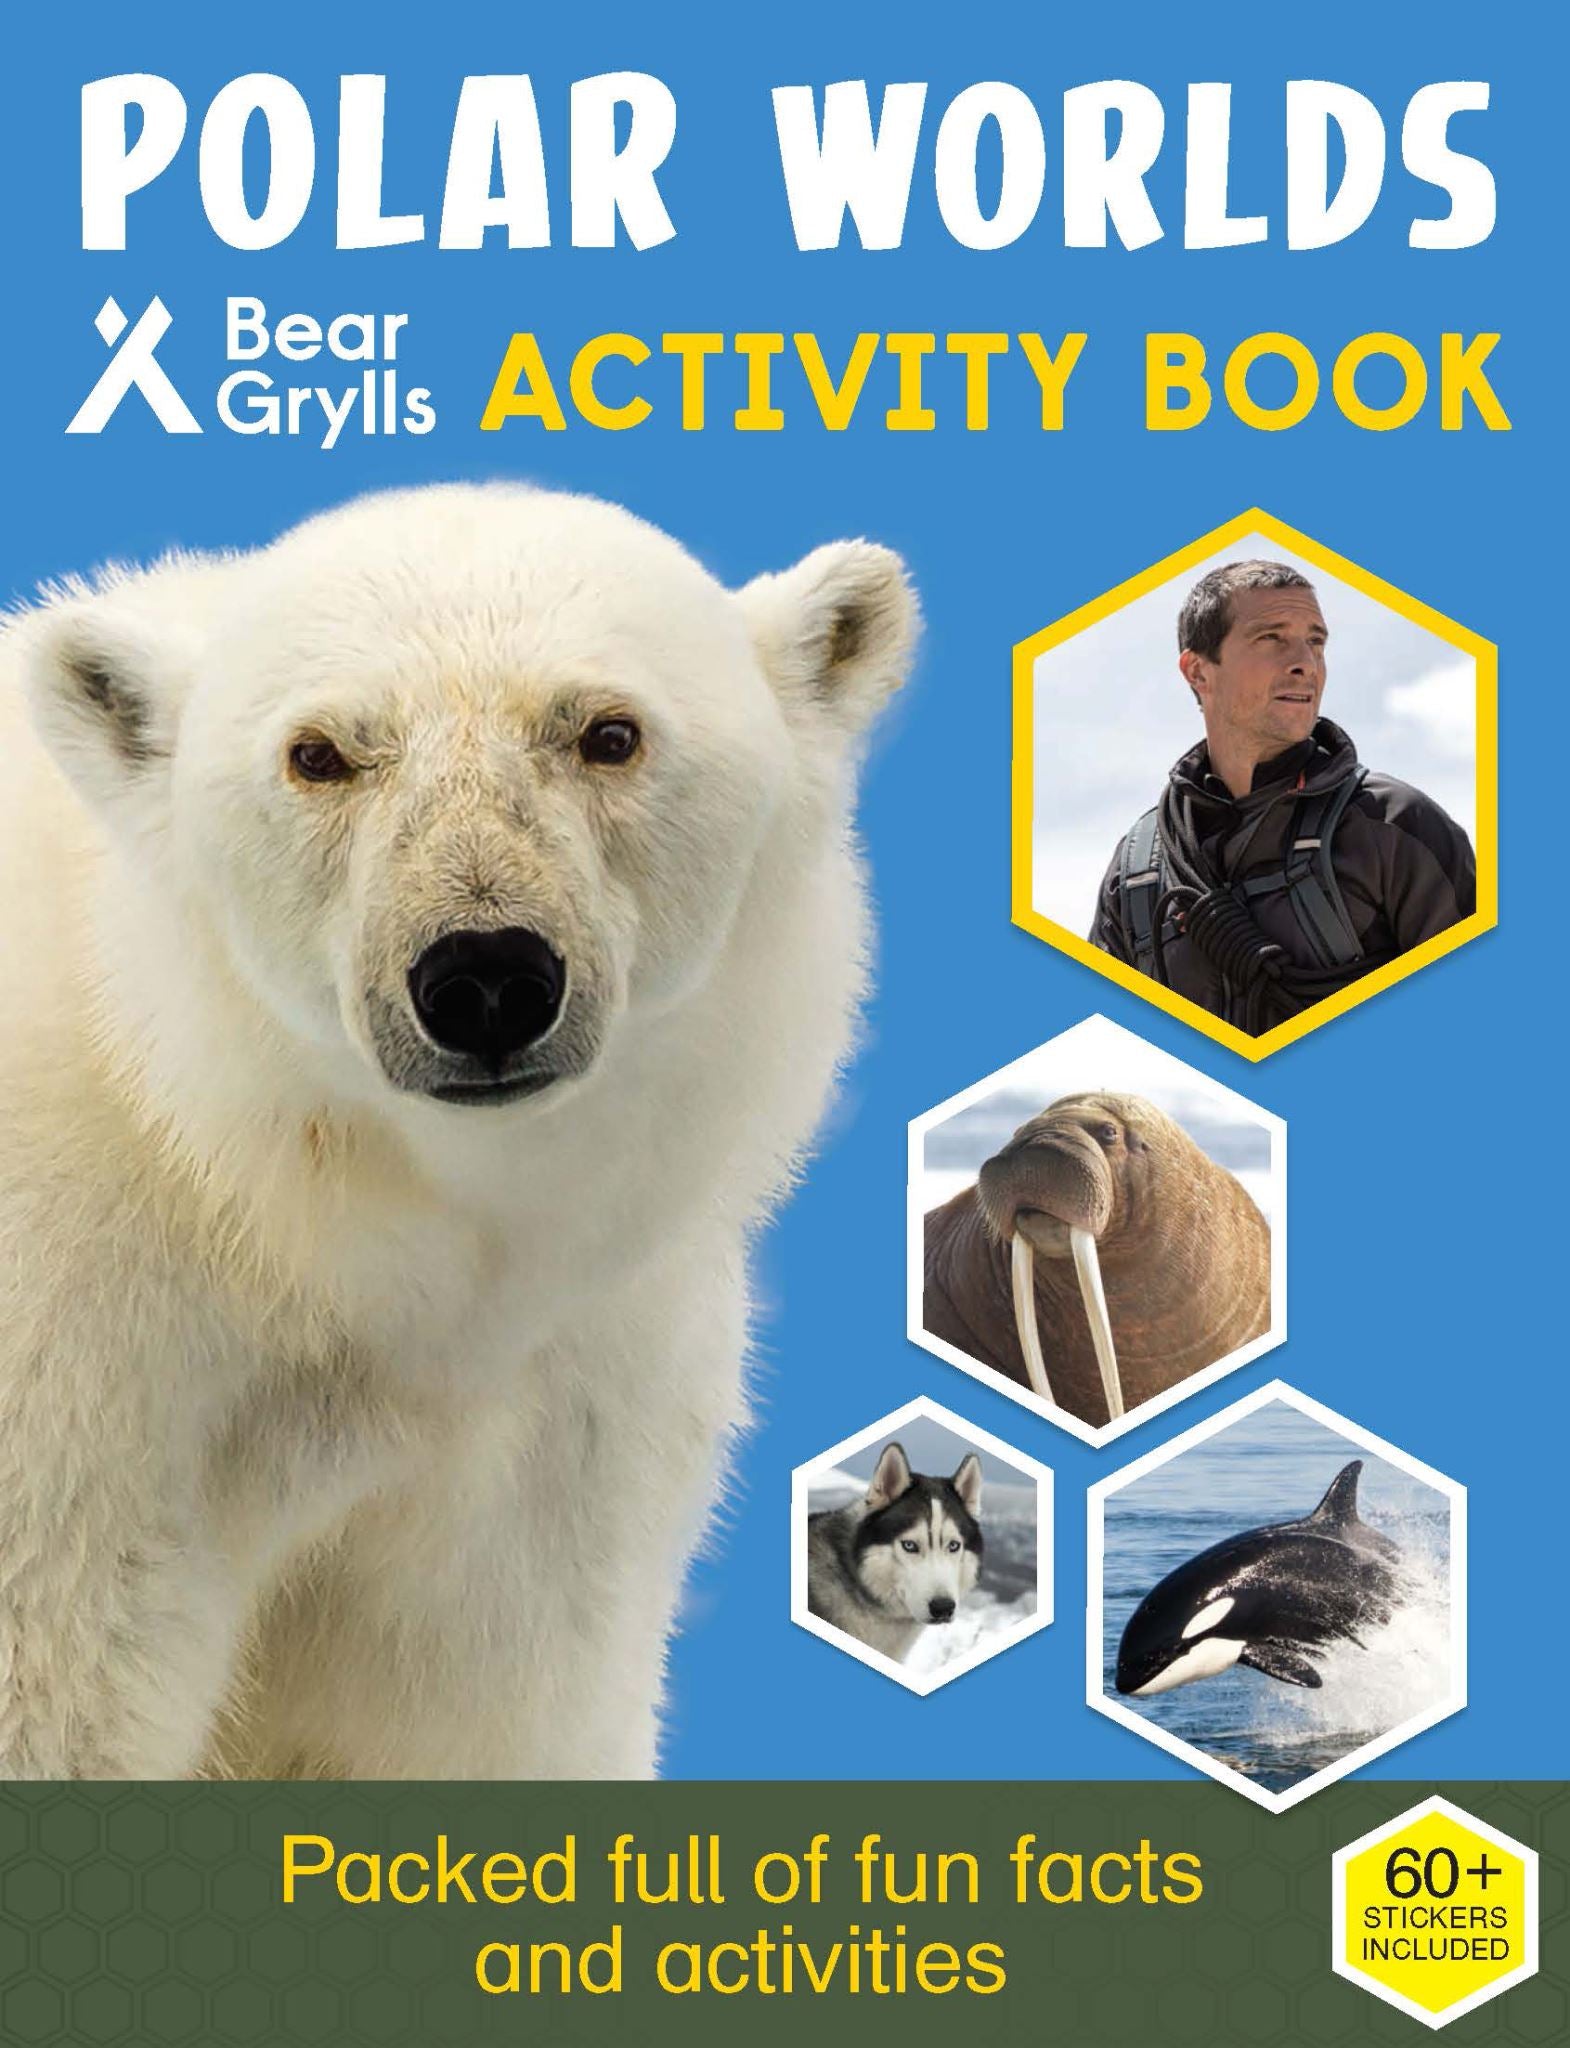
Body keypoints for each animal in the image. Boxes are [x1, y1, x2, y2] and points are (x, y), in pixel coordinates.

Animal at [0, 483, 916, 1778]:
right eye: (318, 753)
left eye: (608, 732)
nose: (485, 975)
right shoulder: (77, 1395)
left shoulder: (557, 1421)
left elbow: (471, 1707)